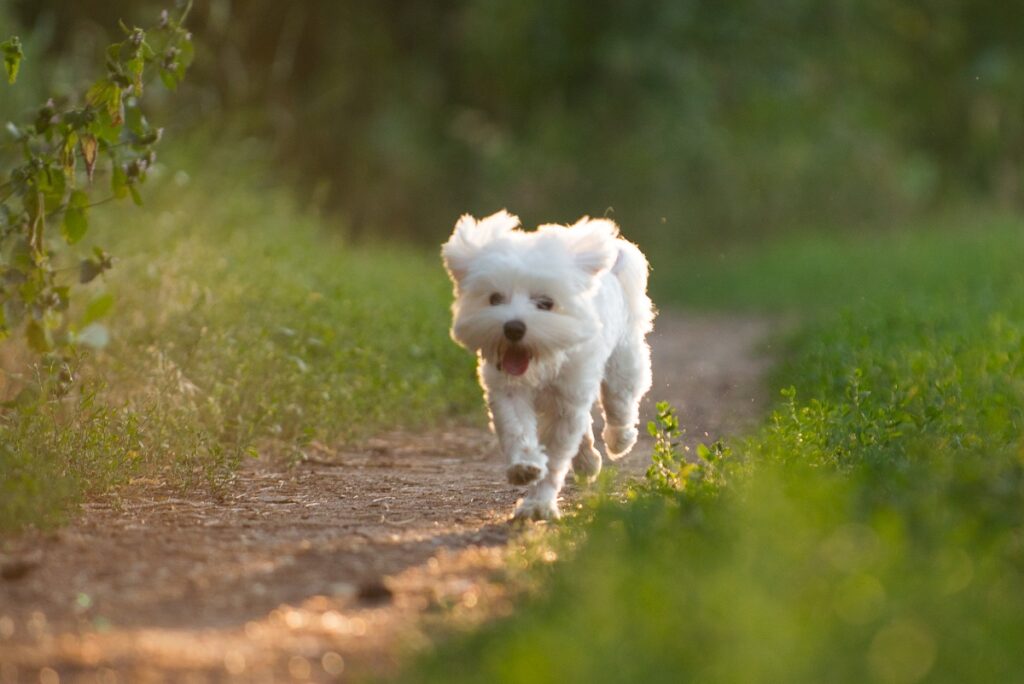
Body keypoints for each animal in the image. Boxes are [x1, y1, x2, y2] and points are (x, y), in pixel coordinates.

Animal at [440, 210, 655, 520]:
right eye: (495, 298)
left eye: (545, 303)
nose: (513, 328)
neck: (541, 362)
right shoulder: (509, 389)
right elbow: (517, 428)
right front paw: (524, 467)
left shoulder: (568, 398)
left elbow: (555, 457)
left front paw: (539, 504)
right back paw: (588, 460)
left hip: (622, 362)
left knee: (619, 402)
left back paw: (619, 439)